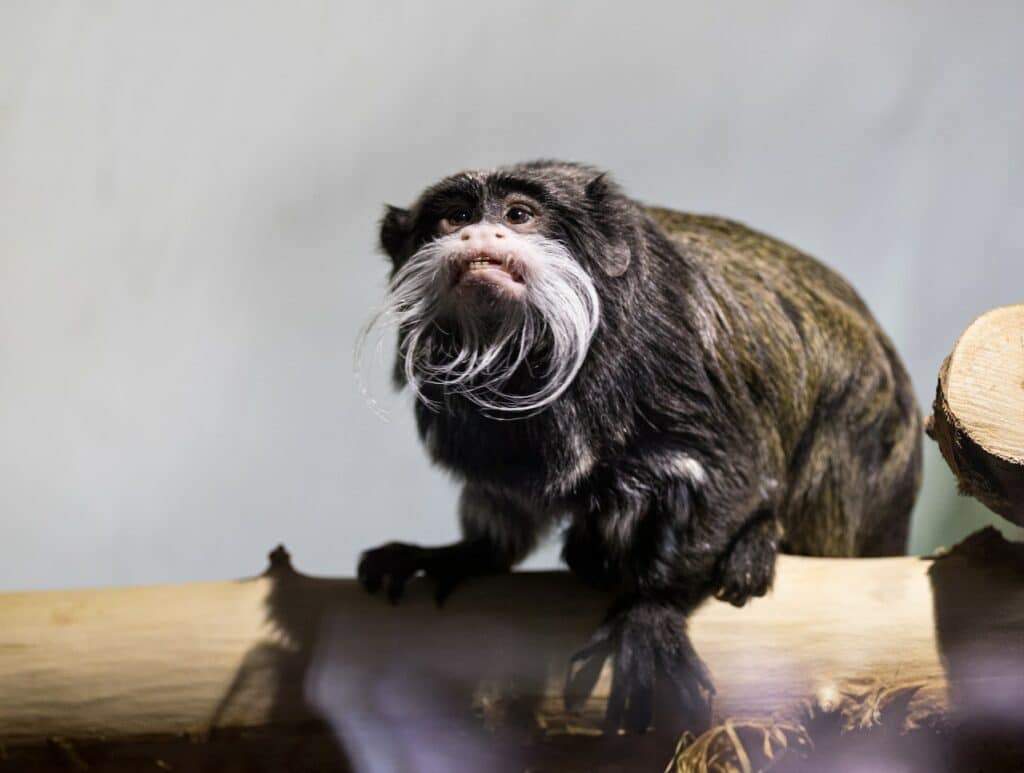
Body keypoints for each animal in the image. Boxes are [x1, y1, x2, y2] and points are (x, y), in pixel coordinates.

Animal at [356, 161, 925, 733]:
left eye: (518, 215)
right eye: (455, 217)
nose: (477, 235)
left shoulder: (663, 339)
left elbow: (735, 468)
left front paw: (652, 607)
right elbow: (504, 502)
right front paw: (460, 552)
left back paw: (757, 541)